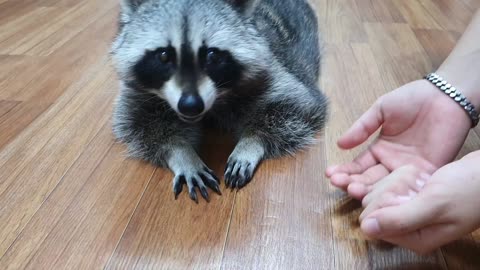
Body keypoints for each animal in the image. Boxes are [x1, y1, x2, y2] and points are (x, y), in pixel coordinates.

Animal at [111, 0, 330, 202]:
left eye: (212, 55)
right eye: (164, 56)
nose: (190, 106)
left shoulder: (273, 72)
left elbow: (297, 105)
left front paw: (250, 142)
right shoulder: (137, 93)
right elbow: (140, 125)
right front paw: (182, 153)